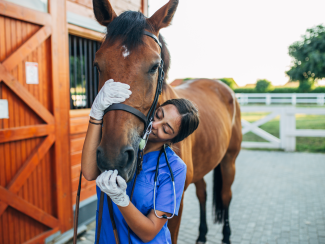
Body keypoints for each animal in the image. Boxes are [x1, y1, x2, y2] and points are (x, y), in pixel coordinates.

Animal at [91, 0, 240, 243]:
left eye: (154, 66)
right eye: (97, 65)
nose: (113, 157)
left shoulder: (175, 209)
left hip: (229, 160)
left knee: (226, 195)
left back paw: (226, 235)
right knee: (202, 192)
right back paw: (201, 234)